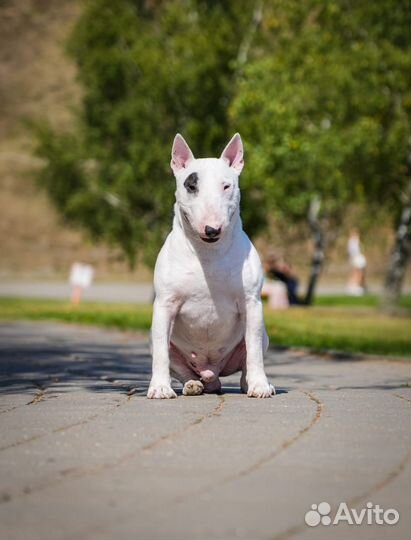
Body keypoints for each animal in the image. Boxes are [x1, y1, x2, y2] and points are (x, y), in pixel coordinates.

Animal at [146, 133, 276, 398]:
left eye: (226, 186)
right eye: (191, 186)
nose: (212, 229)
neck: (208, 255)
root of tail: (211, 374)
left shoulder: (252, 303)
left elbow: (254, 351)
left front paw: (260, 385)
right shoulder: (164, 304)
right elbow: (162, 355)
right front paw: (160, 387)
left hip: (261, 336)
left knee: (248, 357)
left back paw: (253, 383)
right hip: (154, 341)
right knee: (178, 364)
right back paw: (191, 385)